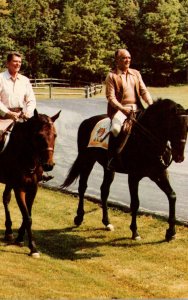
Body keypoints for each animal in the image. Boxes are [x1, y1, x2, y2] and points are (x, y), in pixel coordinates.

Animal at [1, 110, 60, 258]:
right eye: (39, 136)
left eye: (55, 135)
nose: (49, 165)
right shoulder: (19, 188)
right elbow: (27, 217)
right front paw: (33, 248)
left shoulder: (33, 188)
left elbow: (27, 214)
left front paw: (20, 238)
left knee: (5, 198)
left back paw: (9, 231)